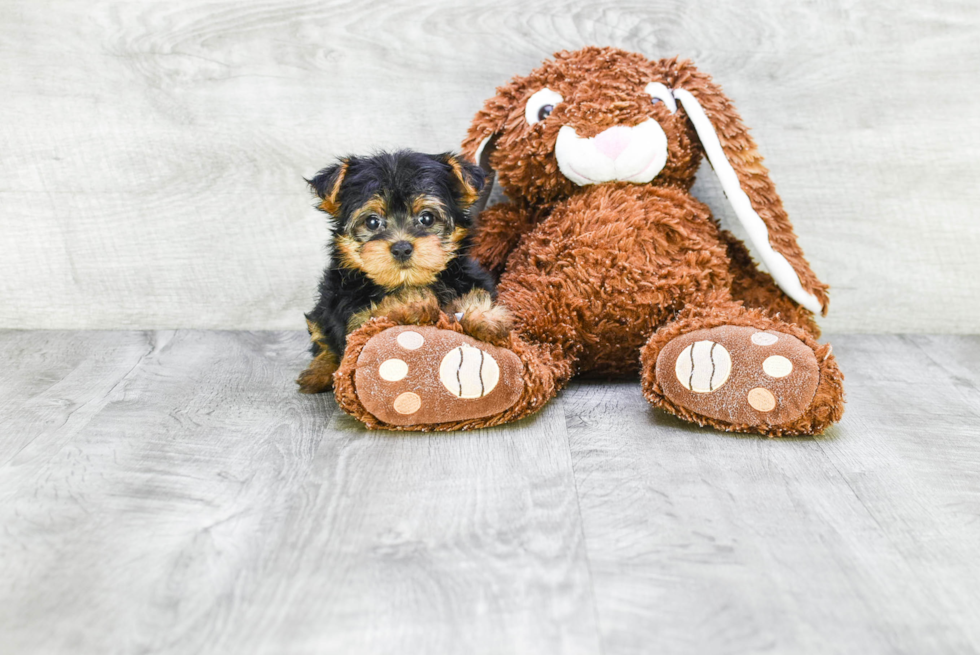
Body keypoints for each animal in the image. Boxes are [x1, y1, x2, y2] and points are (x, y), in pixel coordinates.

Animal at [296, 150, 512, 394]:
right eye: (372, 222)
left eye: (426, 218)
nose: (401, 248)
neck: (407, 281)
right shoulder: (351, 314)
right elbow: (376, 315)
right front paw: (412, 303)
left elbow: (476, 298)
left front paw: (484, 317)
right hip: (323, 308)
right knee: (321, 337)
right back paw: (318, 372)